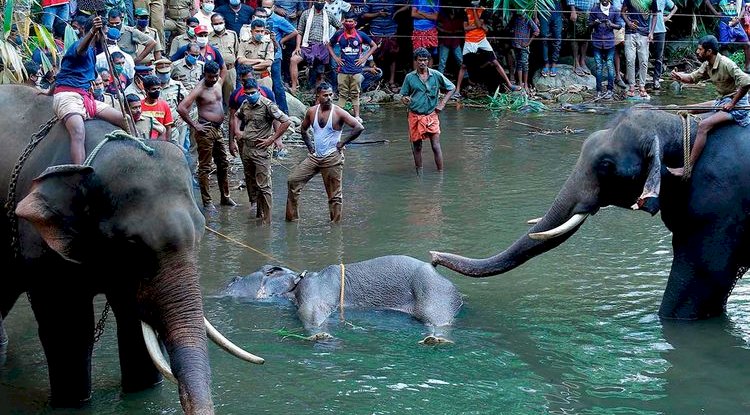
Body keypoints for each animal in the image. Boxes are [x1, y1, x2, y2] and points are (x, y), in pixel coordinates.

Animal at [0, 86, 262, 414]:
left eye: (202, 231)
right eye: (131, 243)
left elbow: (134, 325)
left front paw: (142, 391)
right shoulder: (40, 248)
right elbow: (70, 331)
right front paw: (73, 402)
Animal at [219, 256, 464, 344]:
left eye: (235, 279)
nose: (230, 279)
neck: (296, 281)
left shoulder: (314, 291)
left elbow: (311, 313)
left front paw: (321, 336)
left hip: (433, 293)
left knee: (438, 320)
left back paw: (436, 340)